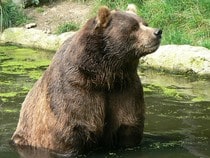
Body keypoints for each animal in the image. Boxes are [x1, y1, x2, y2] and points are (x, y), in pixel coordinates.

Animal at [11, 4, 162, 156]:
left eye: (145, 23)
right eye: (134, 27)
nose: (157, 32)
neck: (105, 74)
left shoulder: (125, 87)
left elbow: (128, 125)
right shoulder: (76, 86)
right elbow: (71, 128)